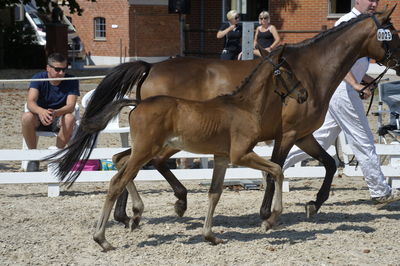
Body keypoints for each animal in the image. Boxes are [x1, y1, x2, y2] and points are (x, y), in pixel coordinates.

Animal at [50, 50, 306, 251]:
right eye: (289, 72)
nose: (303, 94)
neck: (243, 106)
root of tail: (138, 104)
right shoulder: (240, 155)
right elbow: (277, 170)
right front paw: (270, 220)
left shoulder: (222, 157)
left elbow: (215, 193)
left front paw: (210, 236)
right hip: (146, 151)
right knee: (117, 181)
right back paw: (103, 238)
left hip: (145, 150)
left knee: (121, 167)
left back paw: (132, 216)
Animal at [111, 6, 400, 224]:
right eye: (392, 34)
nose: (399, 61)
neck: (311, 70)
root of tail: (151, 68)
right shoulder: (288, 134)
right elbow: (276, 169)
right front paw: (266, 212)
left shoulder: (303, 135)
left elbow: (328, 164)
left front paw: (313, 204)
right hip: (166, 141)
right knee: (139, 162)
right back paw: (152, 207)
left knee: (129, 161)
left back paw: (130, 212)